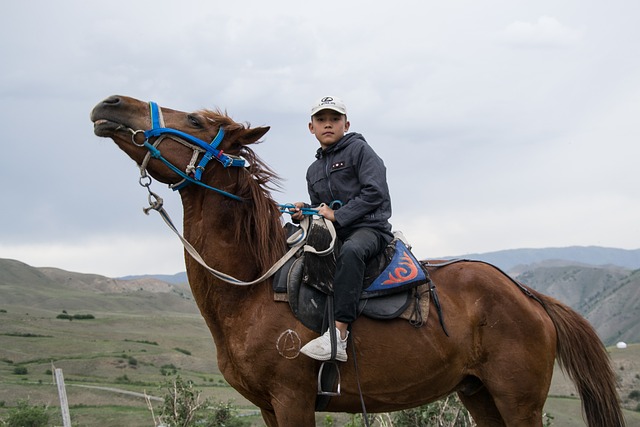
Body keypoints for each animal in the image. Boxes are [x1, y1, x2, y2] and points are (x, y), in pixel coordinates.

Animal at [91, 95, 624, 426]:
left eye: (196, 122)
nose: (110, 104)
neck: (254, 287)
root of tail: (528, 295)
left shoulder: (292, 401)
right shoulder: (267, 407)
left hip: (518, 401)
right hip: (481, 396)